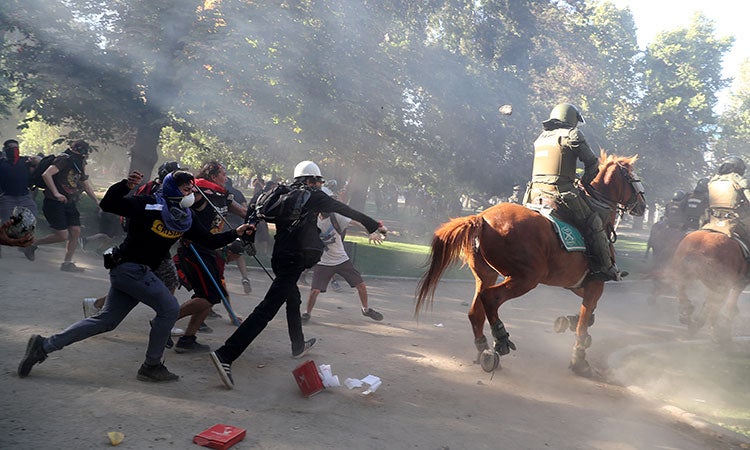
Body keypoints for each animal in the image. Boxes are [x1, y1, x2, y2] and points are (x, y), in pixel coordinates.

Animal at [418, 152, 648, 376]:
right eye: (632, 176)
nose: (643, 206)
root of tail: (481, 219)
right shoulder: (595, 283)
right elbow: (584, 324)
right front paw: (580, 361)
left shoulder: (577, 282)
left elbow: (589, 313)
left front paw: (567, 321)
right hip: (526, 278)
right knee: (491, 298)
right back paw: (500, 341)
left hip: (487, 275)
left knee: (476, 311)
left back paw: (483, 349)